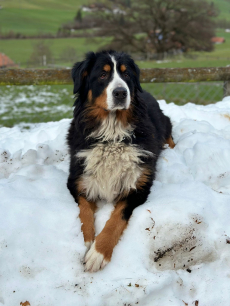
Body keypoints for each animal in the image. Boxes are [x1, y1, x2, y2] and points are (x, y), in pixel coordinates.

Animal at [66, 50, 174, 272]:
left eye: (126, 75)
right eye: (102, 75)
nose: (121, 93)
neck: (112, 135)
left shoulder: (138, 187)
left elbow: (117, 218)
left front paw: (98, 252)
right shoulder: (76, 180)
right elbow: (84, 212)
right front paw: (88, 242)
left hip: (165, 122)